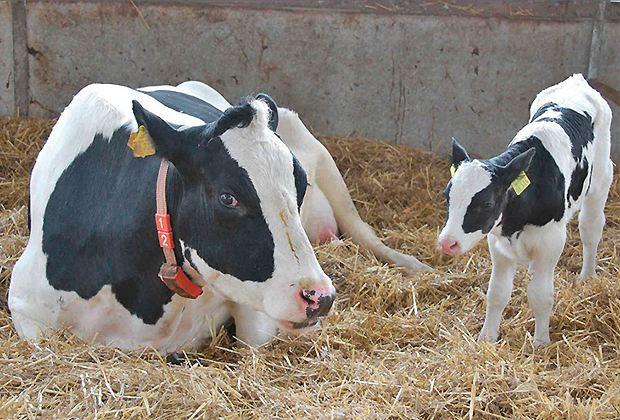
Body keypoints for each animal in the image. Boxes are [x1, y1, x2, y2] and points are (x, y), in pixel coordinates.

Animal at [438, 74, 612, 344]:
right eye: (448, 196)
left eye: (487, 203)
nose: (447, 243)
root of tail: (577, 81)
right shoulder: (498, 243)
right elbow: (497, 293)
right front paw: (487, 337)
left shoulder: (551, 242)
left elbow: (541, 295)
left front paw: (541, 342)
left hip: (601, 180)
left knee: (591, 229)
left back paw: (588, 275)